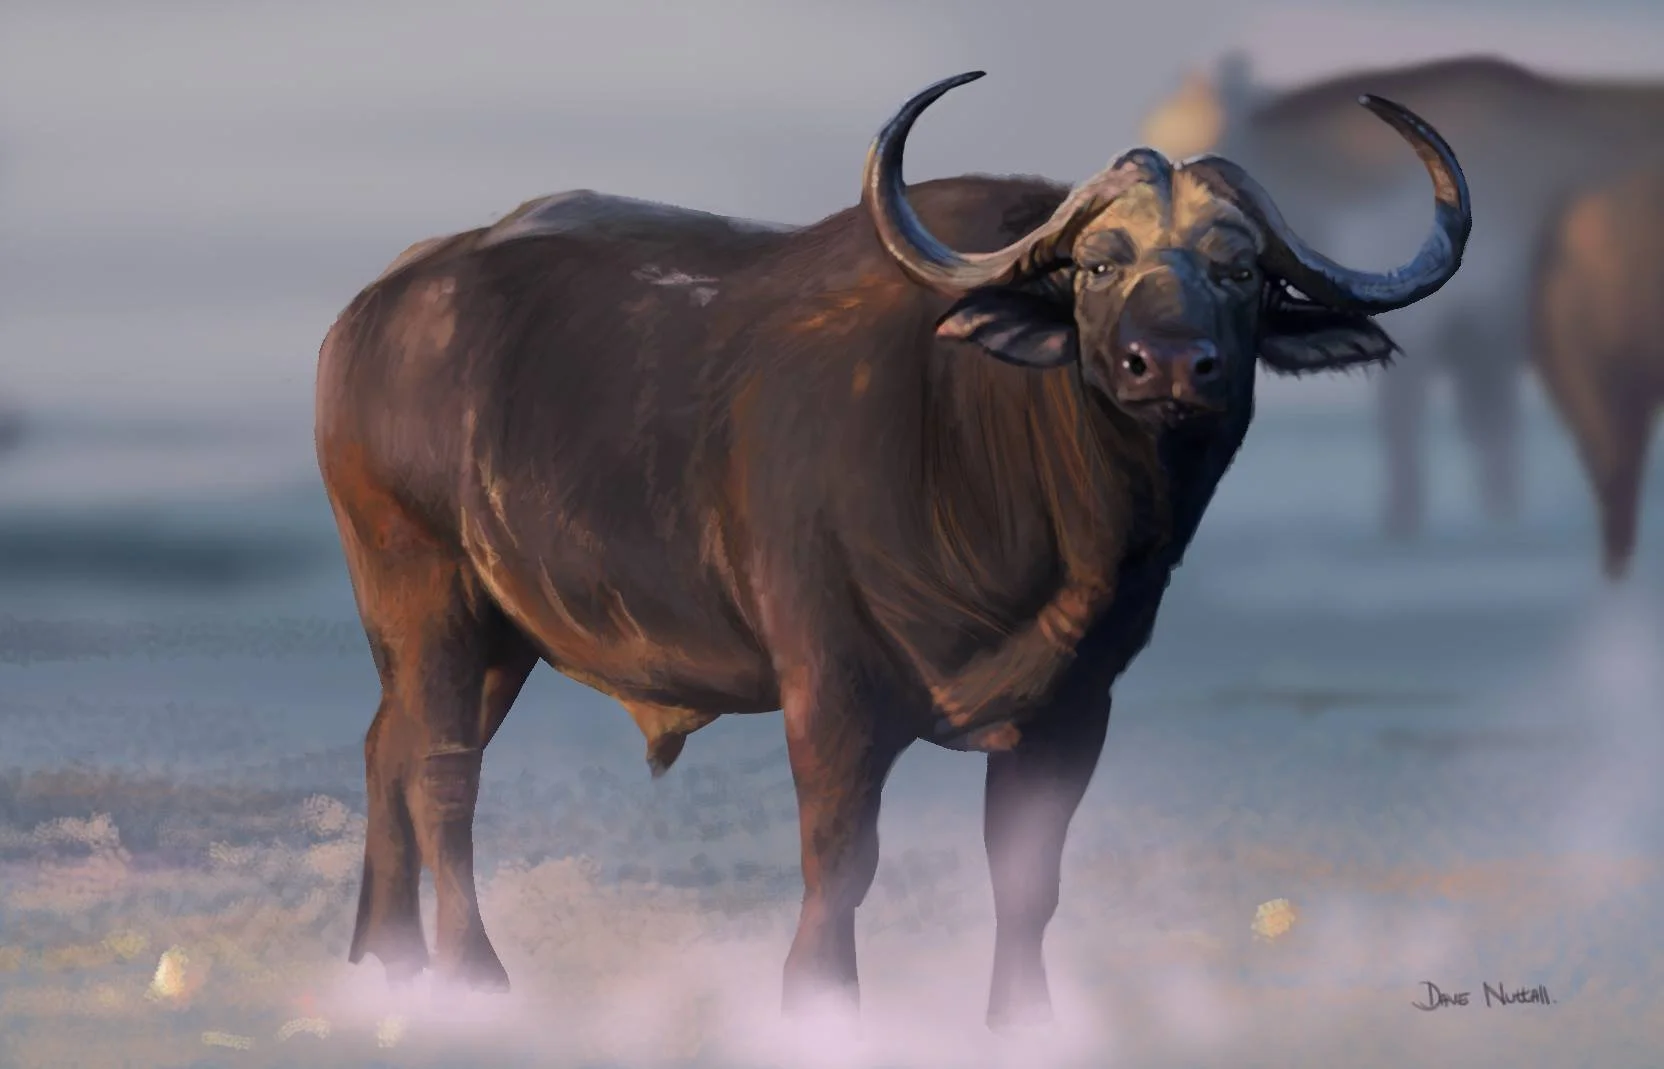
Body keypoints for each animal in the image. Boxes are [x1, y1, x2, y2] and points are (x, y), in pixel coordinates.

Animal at [314, 72, 1470, 1029]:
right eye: (1101, 265)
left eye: (1238, 274)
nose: (1171, 364)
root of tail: (375, 311)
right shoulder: (829, 686)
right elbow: (841, 859)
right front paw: (819, 1006)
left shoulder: (1075, 707)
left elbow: (1027, 878)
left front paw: (1023, 1023)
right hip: (421, 583)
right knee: (441, 770)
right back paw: (470, 975)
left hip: (494, 629)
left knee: (385, 744)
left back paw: (382, 962)